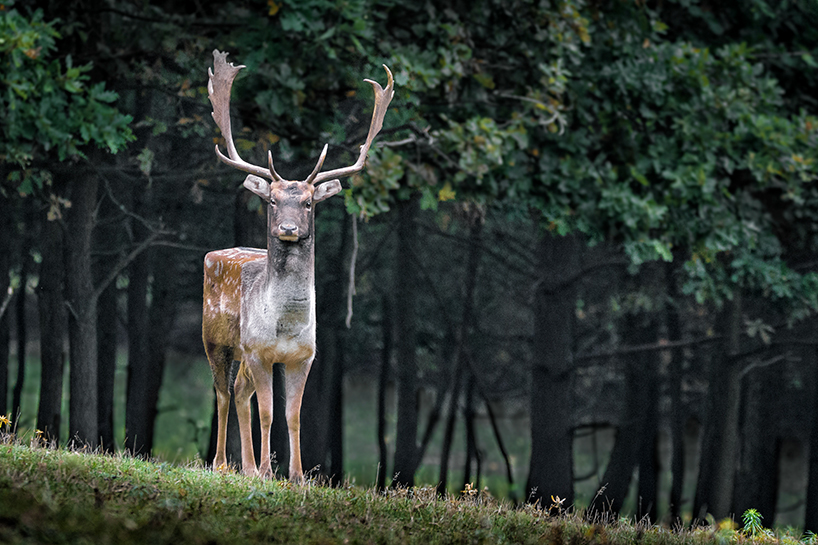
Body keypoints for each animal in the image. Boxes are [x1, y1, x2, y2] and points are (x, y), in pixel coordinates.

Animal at [204, 49, 396, 478]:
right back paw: (223, 463)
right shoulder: (258, 350)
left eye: (308, 202)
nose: (289, 228)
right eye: (272, 200)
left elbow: (292, 416)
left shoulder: (304, 356)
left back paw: (245, 467)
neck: (286, 327)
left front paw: (296, 475)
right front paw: (268, 471)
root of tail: (214, 254)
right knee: (222, 393)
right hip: (216, 340)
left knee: (238, 391)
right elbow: (268, 413)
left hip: (240, 354)